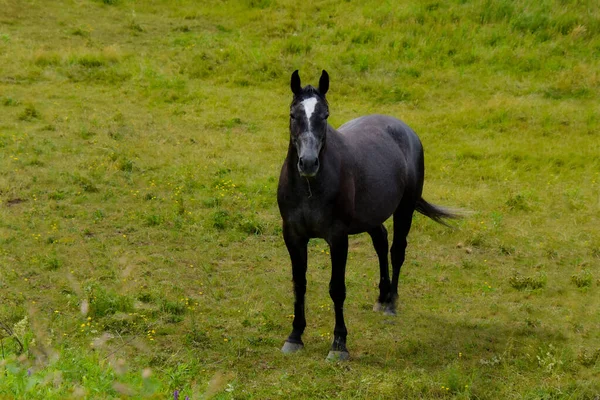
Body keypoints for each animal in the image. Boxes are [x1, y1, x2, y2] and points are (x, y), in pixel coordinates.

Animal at [278, 70, 460, 360]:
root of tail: (404, 129)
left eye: (325, 115)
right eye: (293, 114)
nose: (307, 163)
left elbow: (337, 288)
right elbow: (299, 284)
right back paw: (381, 298)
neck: (310, 187)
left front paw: (339, 344)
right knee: (381, 241)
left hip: (404, 209)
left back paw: (391, 303)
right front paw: (295, 336)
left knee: (397, 250)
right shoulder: (293, 236)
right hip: (371, 217)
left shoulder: (338, 238)